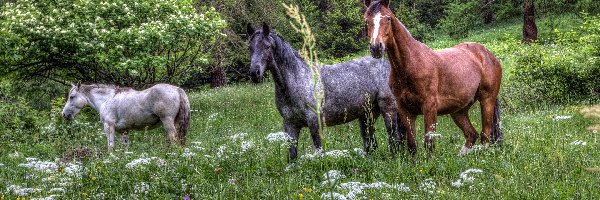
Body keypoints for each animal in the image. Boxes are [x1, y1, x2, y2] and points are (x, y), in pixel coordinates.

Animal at [246, 23, 406, 161]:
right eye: (249, 47)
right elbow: (292, 155)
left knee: (394, 139)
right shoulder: (290, 124)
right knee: (371, 143)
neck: (298, 79)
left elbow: (319, 150)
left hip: (388, 109)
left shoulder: (314, 123)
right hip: (367, 115)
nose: (254, 73)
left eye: (267, 47)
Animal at [364, 0, 504, 158]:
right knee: (471, 134)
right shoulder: (405, 110)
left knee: (485, 134)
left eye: (387, 18)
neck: (410, 65)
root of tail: (487, 54)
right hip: (459, 110)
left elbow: (429, 143)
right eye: (366, 21)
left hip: (487, 100)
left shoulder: (429, 107)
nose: (376, 47)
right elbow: (412, 145)